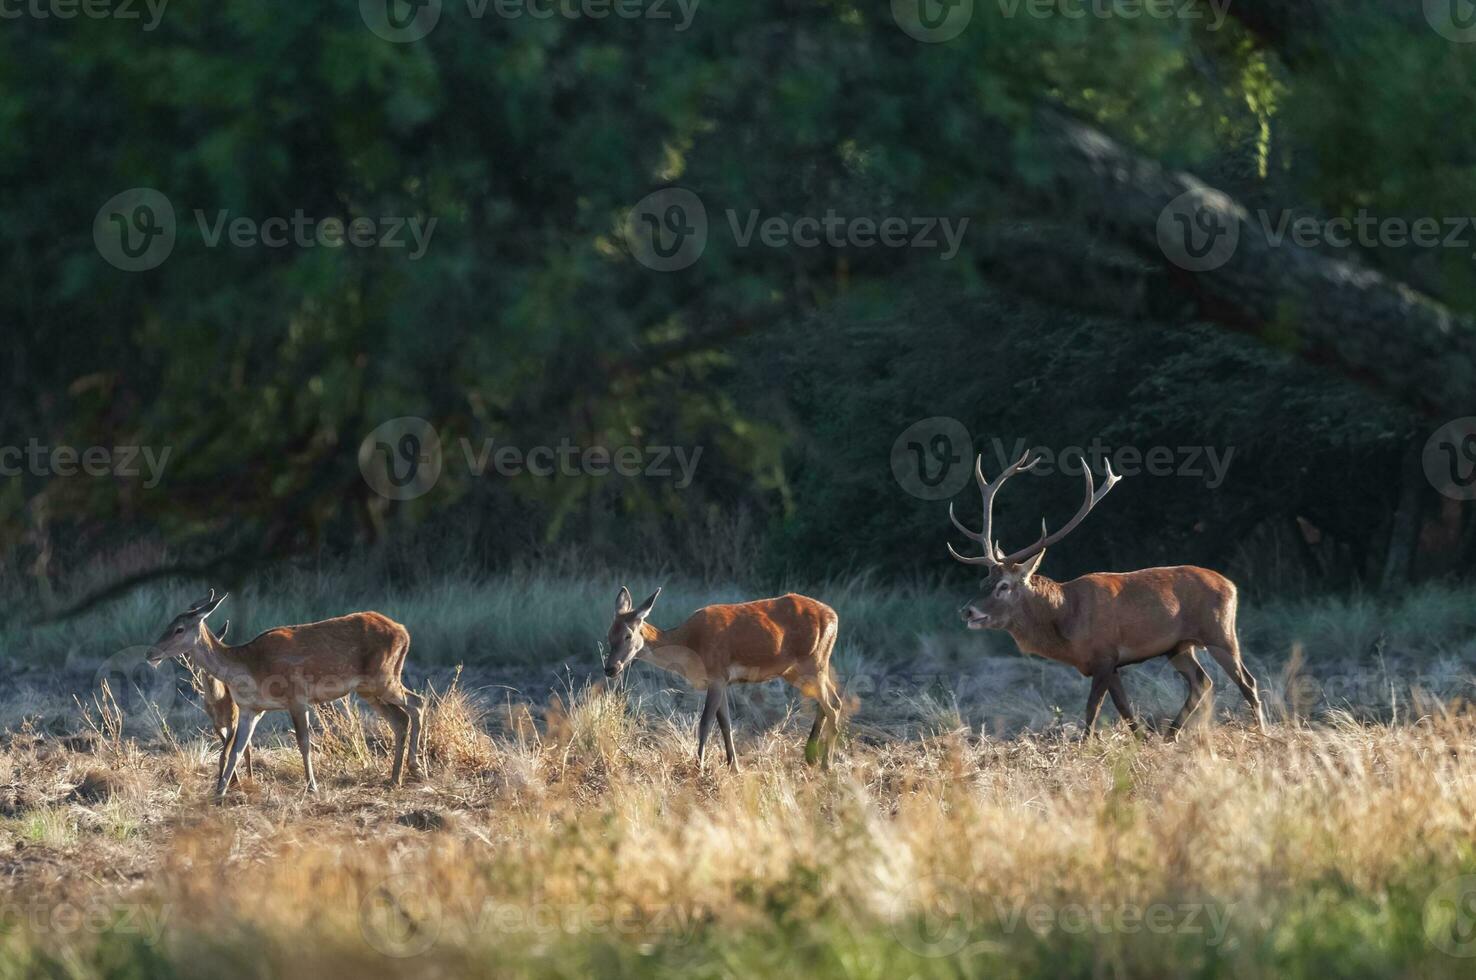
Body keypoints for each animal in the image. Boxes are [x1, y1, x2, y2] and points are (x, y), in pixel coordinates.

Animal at [146, 590, 425, 796]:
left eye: (179, 628)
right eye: (169, 624)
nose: (151, 653)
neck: (250, 668)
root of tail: (404, 631)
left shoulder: (297, 696)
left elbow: (303, 742)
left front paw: (312, 786)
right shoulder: (250, 709)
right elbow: (236, 749)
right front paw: (220, 791)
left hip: (384, 677)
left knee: (417, 702)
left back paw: (415, 767)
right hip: (368, 688)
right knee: (399, 718)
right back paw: (395, 778)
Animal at [602, 584, 844, 767]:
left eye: (628, 635)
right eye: (609, 634)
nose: (610, 668)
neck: (690, 647)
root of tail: (834, 616)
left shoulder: (717, 674)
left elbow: (705, 722)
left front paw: (699, 765)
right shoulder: (721, 681)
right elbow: (725, 723)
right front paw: (733, 765)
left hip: (813, 661)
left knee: (833, 705)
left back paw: (826, 764)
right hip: (797, 670)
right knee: (832, 701)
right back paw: (811, 757)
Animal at [950, 448, 1263, 735]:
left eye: (1004, 586)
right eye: (983, 583)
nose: (967, 610)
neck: (1066, 619)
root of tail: (1232, 586)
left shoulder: (1104, 654)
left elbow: (1092, 711)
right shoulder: (1108, 663)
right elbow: (1125, 710)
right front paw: (1142, 740)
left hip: (1220, 632)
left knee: (1246, 681)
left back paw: (1261, 731)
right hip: (1178, 646)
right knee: (1202, 681)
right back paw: (1171, 734)